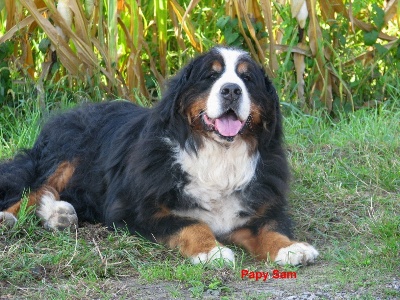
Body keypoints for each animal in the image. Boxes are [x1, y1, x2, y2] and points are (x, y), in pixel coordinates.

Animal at [0, 48, 318, 266]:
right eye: (211, 76)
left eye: (247, 78)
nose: (231, 90)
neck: (217, 155)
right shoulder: (139, 211)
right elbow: (193, 225)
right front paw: (212, 251)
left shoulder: (258, 209)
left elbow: (269, 228)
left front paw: (291, 248)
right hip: (67, 158)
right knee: (34, 189)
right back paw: (10, 218)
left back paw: (60, 215)